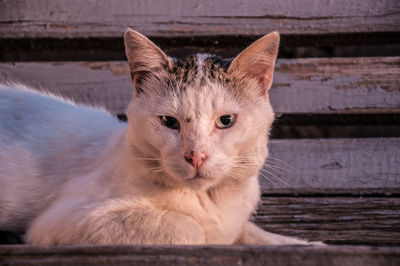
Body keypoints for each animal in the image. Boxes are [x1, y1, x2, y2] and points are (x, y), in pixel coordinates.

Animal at [0, 29, 318, 245]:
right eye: (169, 122)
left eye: (225, 121)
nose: (196, 155)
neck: (212, 200)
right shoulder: (61, 222)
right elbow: (187, 228)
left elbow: (249, 231)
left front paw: (304, 244)